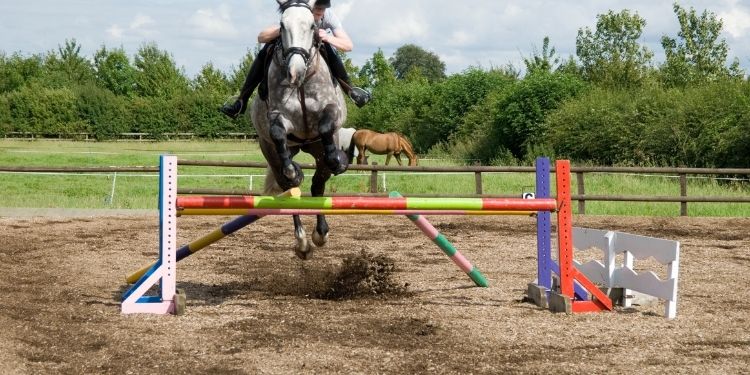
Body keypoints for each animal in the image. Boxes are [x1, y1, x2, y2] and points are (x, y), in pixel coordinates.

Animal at [250, 0, 350, 260]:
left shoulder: (331, 111)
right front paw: (292, 171)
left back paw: (320, 234)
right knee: (290, 190)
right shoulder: (278, 117)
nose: (294, 72)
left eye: (313, 26)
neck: (303, 83)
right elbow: (278, 133)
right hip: (271, 152)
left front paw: (337, 159)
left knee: (318, 185)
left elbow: (325, 125)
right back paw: (303, 241)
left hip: (315, 148)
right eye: (281, 26)